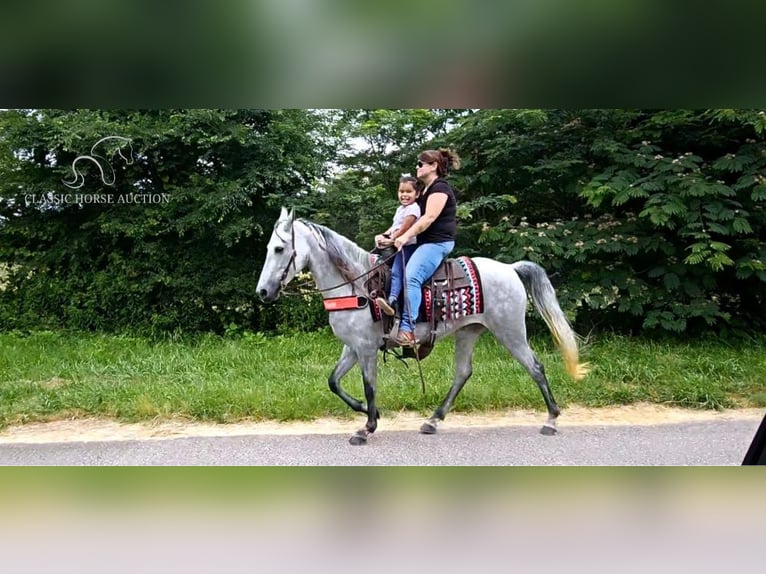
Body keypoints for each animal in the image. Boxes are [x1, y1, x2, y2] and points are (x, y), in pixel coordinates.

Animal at [258, 209, 588, 448]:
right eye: (269, 247)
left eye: (279, 248)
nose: (262, 291)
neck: (356, 285)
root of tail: (510, 269)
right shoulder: (351, 347)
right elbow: (333, 382)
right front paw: (368, 411)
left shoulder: (365, 349)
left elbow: (369, 385)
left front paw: (367, 428)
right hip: (469, 332)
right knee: (463, 373)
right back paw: (433, 420)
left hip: (510, 331)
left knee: (535, 367)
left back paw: (551, 420)